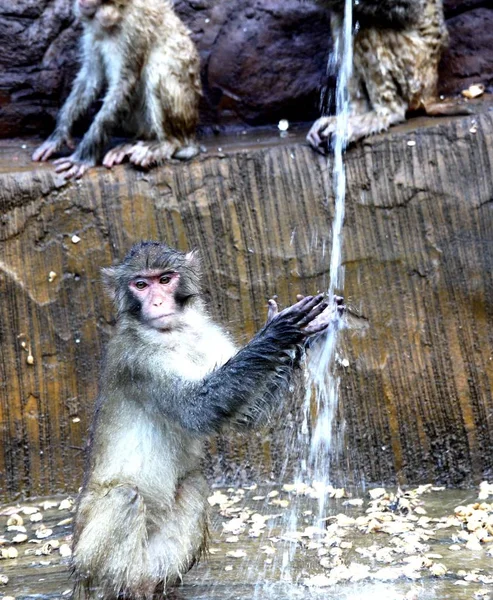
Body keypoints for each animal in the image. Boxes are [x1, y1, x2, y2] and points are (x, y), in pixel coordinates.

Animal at [31, 0, 200, 179]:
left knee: (156, 70)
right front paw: (59, 134)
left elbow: (124, 83)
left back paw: (168, 143)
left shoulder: (134, 29)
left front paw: (82, 156)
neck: (115, 13)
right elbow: (91, 77)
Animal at [74, 241, 342, 596]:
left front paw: (302, 334)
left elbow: (247, 417)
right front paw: (279, 331)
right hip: (86, 561)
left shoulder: (206, 332)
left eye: (165, 279)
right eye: (140, 284)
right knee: (124, 497)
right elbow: (197, 409)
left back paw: (153, 587)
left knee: (193, 484)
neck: (175, 332)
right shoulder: (137, 358)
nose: (157, 302)